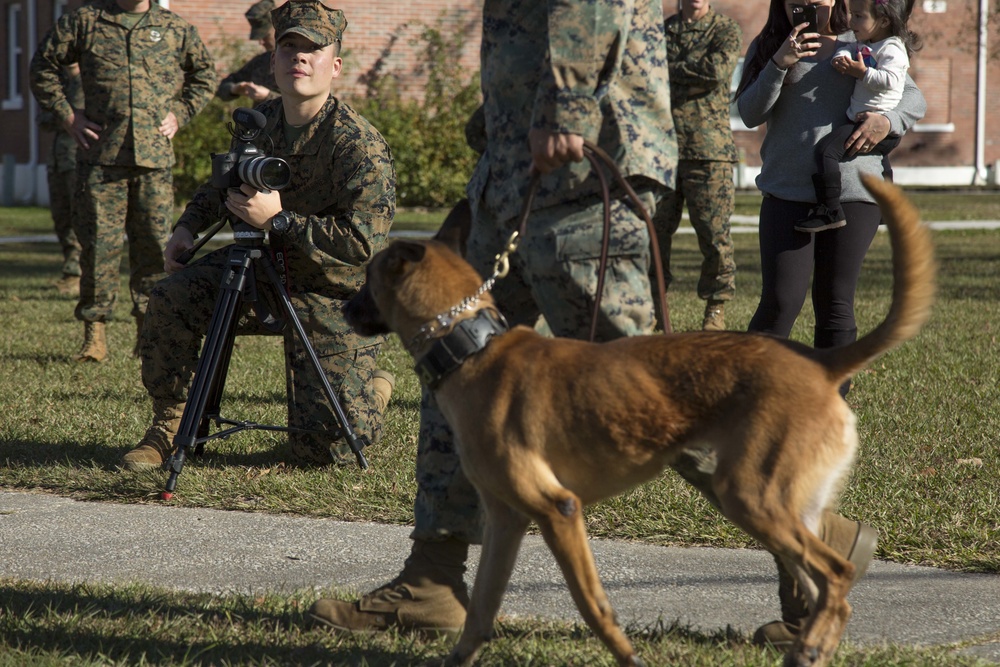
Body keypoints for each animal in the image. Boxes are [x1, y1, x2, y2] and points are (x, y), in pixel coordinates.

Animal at [344, 177, 936, 667]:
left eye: (368, 279)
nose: (345, 308)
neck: (471, 346)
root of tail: (819, 364)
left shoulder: (559, 510)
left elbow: (593, 606)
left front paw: (626, 656)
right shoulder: (506, 521)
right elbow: (480, 612)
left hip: (750, 494)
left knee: (835, 575)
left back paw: (812, 640)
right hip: (767, 499)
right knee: (825, 586)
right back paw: (810, 644)